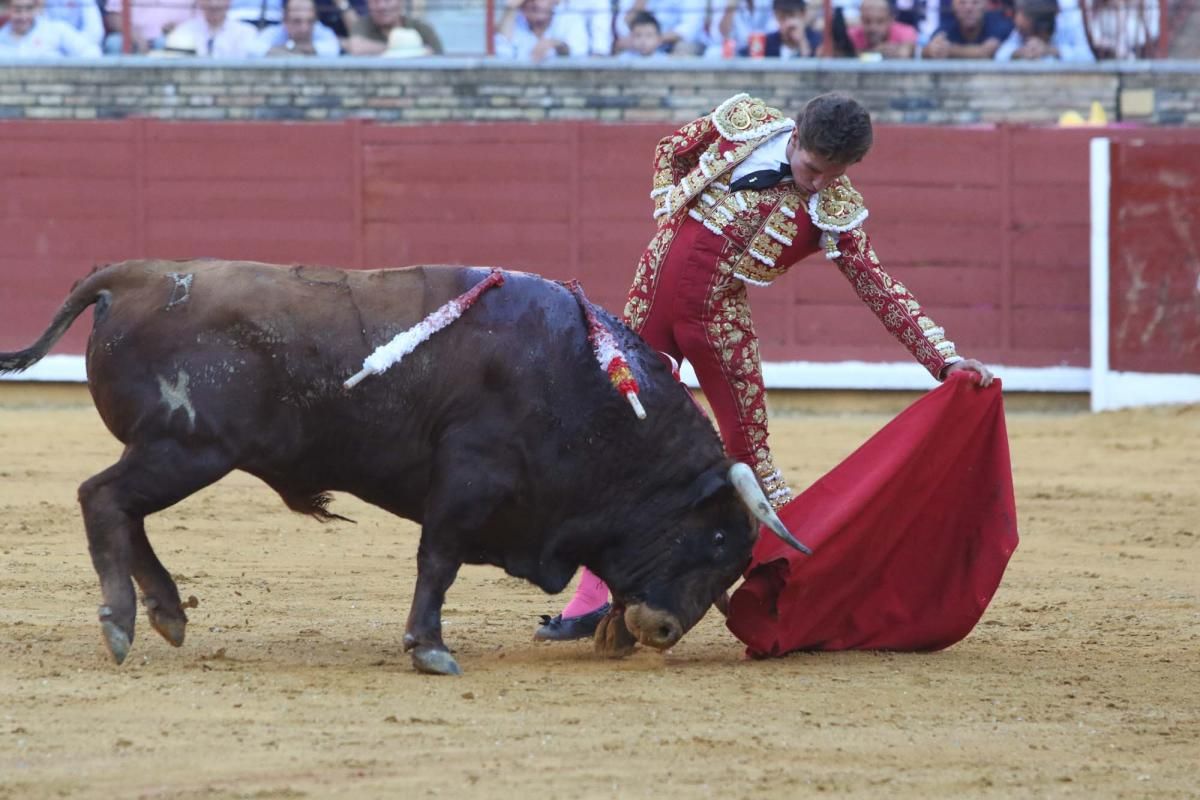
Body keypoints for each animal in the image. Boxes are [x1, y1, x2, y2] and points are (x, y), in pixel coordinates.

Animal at [0, 261, 811, 676]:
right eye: (717, 541)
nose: (665, 629)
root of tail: (138, 276)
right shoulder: (467, 482)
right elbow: (438, 562)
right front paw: (430, 648)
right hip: (186, 449)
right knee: (104, 500)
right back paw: (122, 623)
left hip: (181, 452)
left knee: (123, 510)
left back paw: (166, 615)